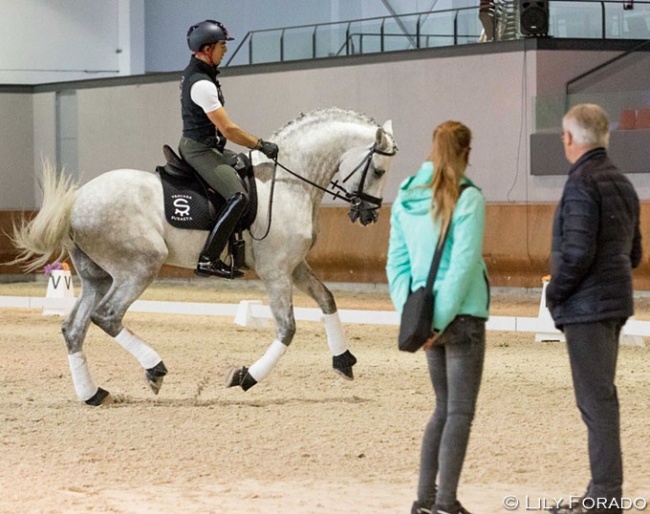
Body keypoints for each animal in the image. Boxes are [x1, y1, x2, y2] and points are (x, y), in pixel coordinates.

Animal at [12, 107, 394, 404]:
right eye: (378, 171)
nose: (369, 214)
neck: (288, 183)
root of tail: (76, 201)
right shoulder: (276, 271)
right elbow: (287, 329)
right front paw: (245, 377)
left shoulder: (295, 266)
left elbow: (327, 300)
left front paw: (343, 361)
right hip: (139, 267)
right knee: (107, 316)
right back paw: (154, 369)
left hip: (97, 277)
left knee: (73, 328)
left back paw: (93, 395)